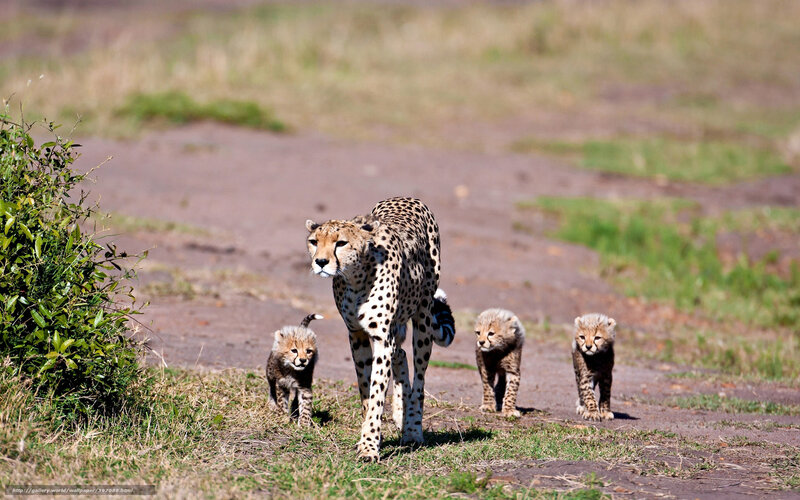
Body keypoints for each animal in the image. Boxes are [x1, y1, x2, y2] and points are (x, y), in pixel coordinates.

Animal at [305, 196, 456, 462]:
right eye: (314, 242)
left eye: (340, 243)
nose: (321, 262)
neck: (355, 278)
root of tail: (407, 197)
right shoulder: (356, 335)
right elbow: (366, 389)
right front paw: (372, 434)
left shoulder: (381, 338)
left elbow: (376, 393)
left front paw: (369, 446)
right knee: (401, 355)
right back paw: (400, 414)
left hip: (423, 318)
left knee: (419, 378)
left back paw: (412, 429)